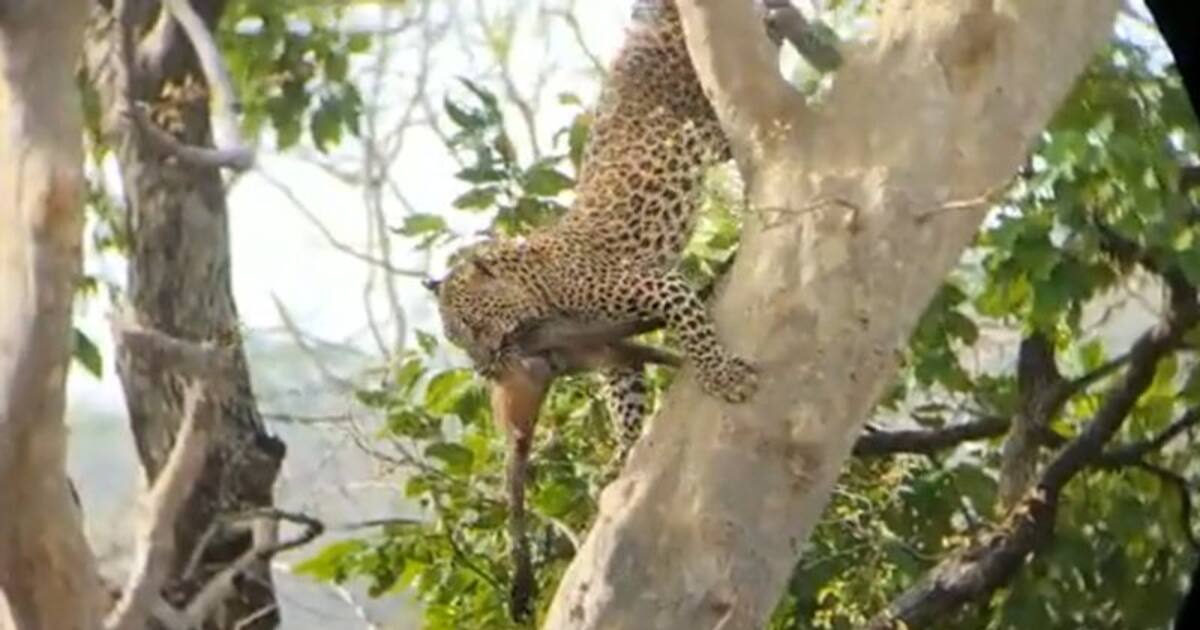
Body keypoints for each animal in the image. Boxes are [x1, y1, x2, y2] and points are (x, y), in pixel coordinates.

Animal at [427, 1, 753, 451]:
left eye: (472, 326)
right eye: (456, 340)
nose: (483, 369)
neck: (539, 294)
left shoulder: (660, 285)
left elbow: (695, 331)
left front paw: (722, 377)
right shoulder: (608, 345)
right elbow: (624, 395)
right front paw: (627, 451)